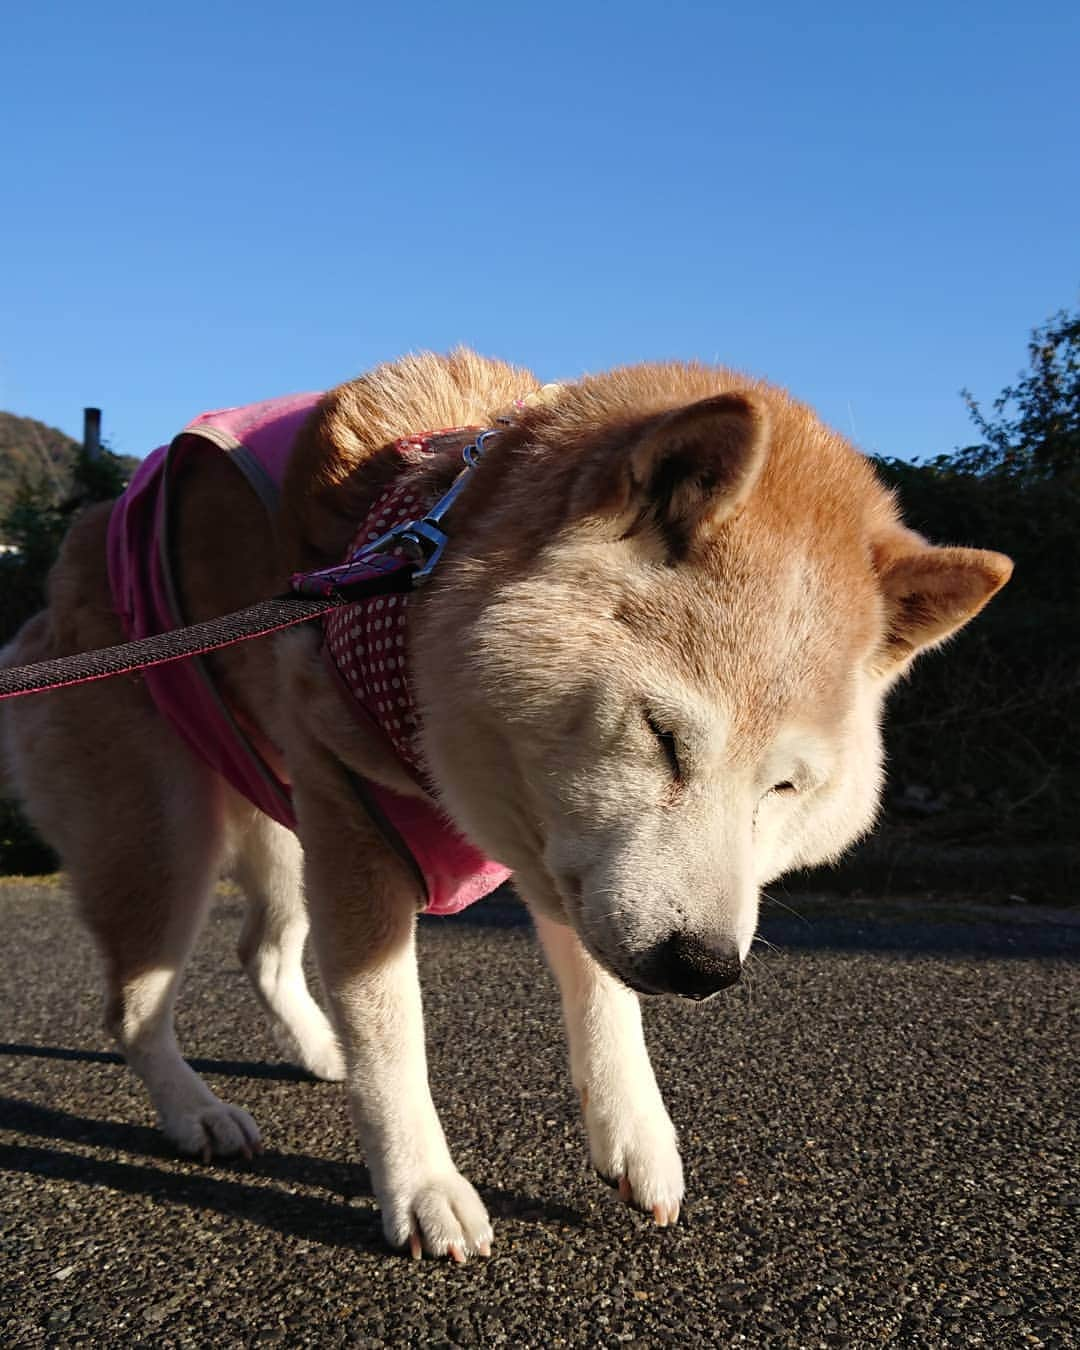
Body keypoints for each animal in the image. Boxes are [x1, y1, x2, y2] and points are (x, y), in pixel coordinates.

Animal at [0, 348, 1015, 1252]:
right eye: (661, 734)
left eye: (786, 786)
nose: (703, 967)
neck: (422, 587)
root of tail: (66, 565)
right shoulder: (363, 831)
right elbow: (393, 1032)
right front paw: (422, 1187)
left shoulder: (565, 857)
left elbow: (605, 996)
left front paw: (636, 1133)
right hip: (169, 837)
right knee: (133, 1010)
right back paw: (195, 1112)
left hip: (281, 817)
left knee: (260, 951)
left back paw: (317, 1049)